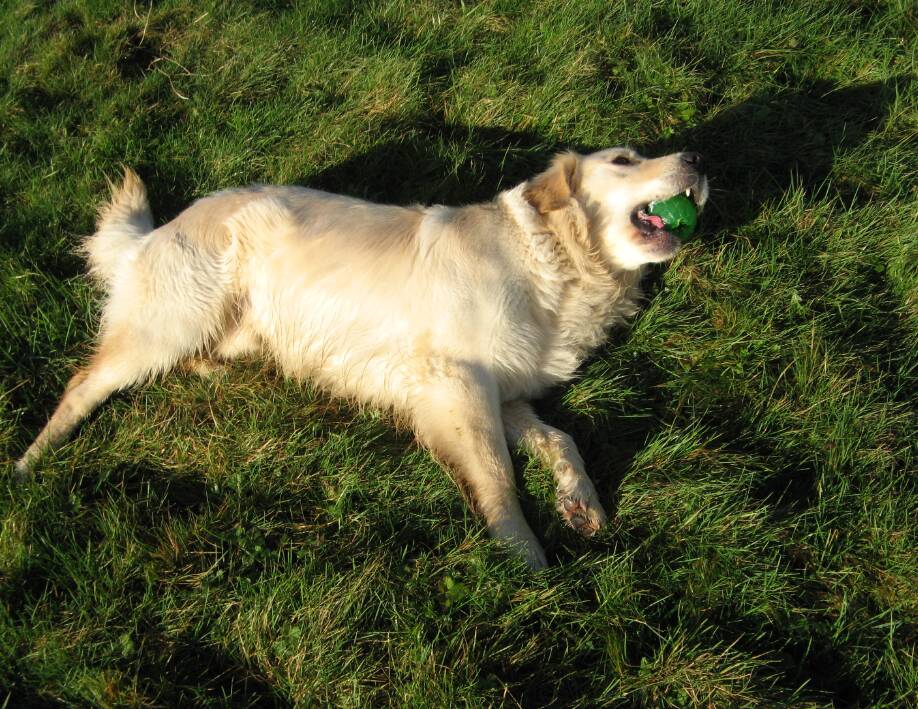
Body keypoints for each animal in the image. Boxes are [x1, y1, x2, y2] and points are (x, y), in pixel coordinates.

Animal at [16, 147, 712, 568]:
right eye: (623, 159)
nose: (696, 158)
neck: (554, 261)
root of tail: (160, 228)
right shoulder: (456, 382)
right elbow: (497, 475)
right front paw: (524, 558)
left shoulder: (505, 390)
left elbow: (561, 439)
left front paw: (580, 502)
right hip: (171, 318)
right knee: (83, 382)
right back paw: (29, 464)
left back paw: (212, 368)